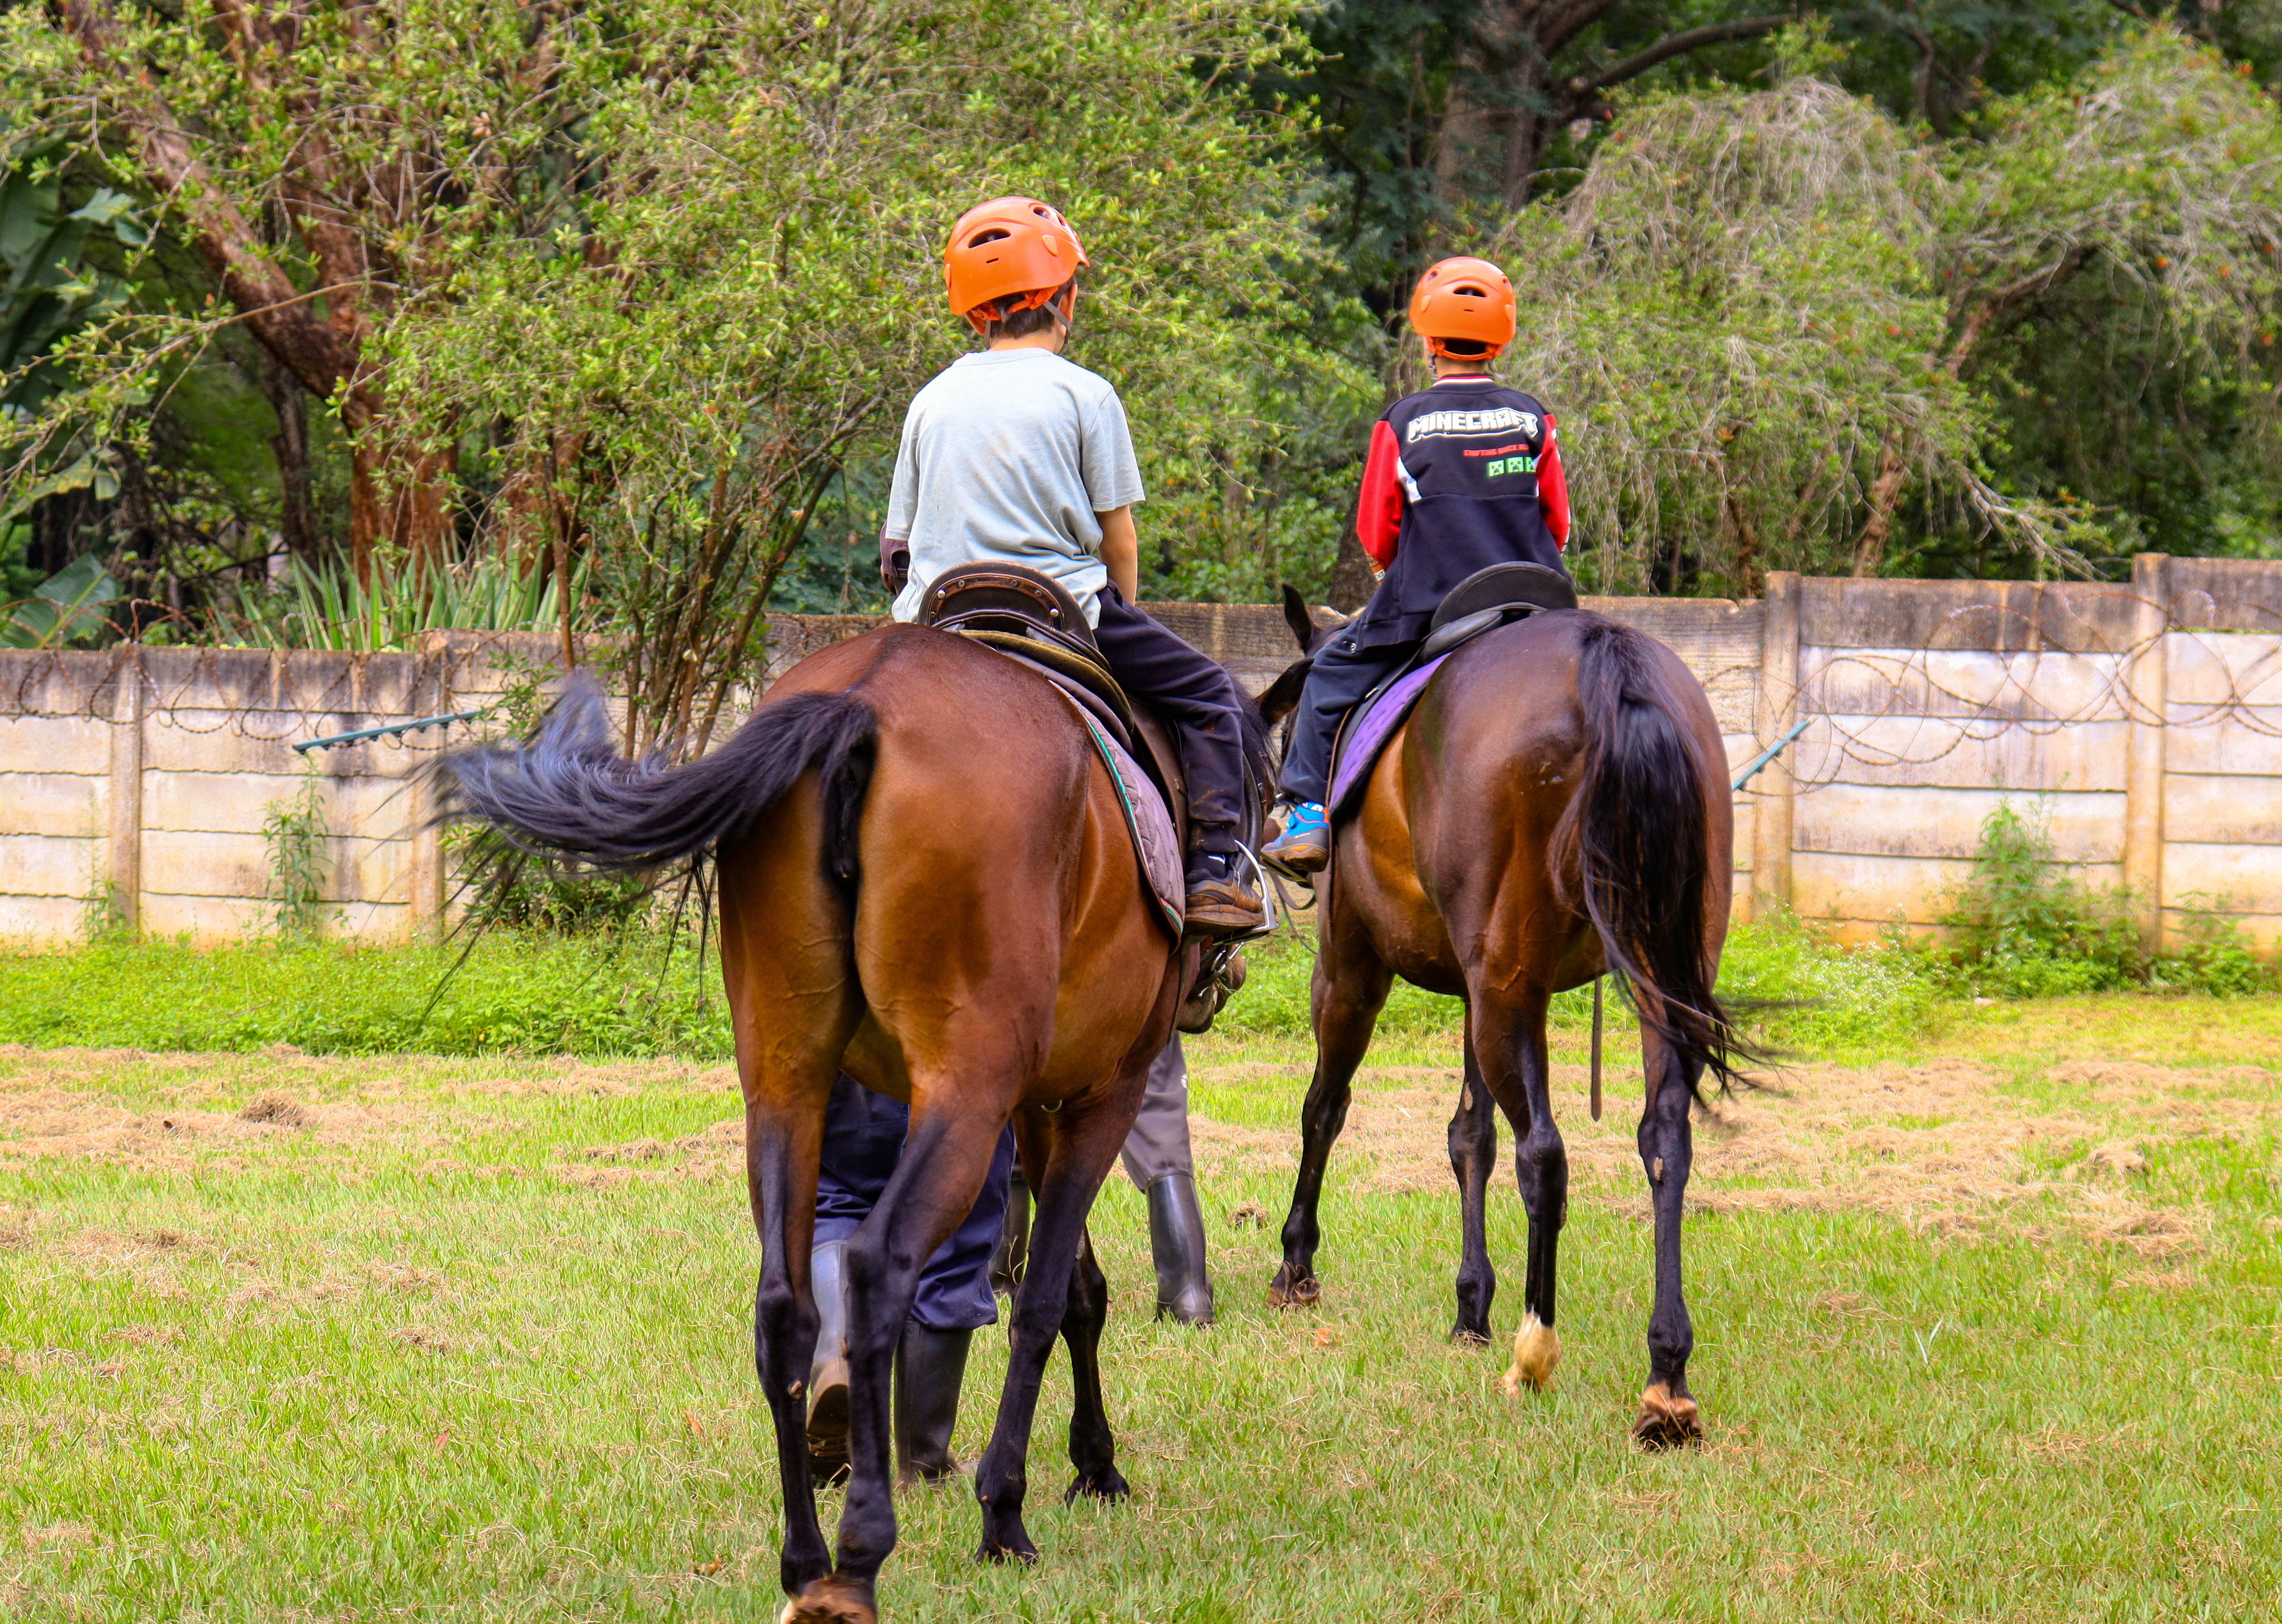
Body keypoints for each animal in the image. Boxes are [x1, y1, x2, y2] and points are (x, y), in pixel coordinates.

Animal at [444, 623, 1271, 1623]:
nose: (1225, 966)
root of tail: (863, 697)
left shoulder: (1040, 1103)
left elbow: (1079, 1291)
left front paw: (1095, 1466)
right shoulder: (1099, 1091)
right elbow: (1042, 1301)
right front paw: (1009, 1508)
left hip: (787, 1078)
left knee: (785, 1304)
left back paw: (806, 1557)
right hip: (965, 1091)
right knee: (880, 1267)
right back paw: (864, 1552)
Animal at [1256, 586, 1743, 1447]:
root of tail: (1602, 657)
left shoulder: (1350, 968)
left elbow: (1324, 1110)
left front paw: (1296, 1264)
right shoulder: (1479, 985)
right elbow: (1468, 1137)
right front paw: (1469, 1308)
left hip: (1493, 982)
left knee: (1543, 1152)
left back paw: (1534, 1349)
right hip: (1643, 977)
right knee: (1662, 1142)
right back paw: (1666, 1378)